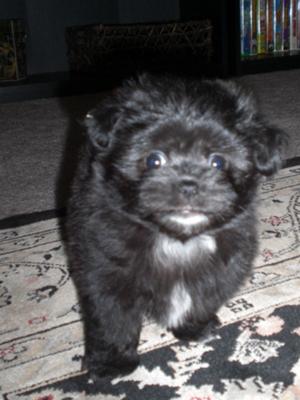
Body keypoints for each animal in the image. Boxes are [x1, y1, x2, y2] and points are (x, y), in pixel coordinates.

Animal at [67, 74, 286, 378]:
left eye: (218, 162)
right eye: (154, 159)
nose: (188, 184)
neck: (176, 238)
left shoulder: (222, 263)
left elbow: (201, 294)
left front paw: (193, 328)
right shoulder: (107, 271)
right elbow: (113, 318)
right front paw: (113, 362)